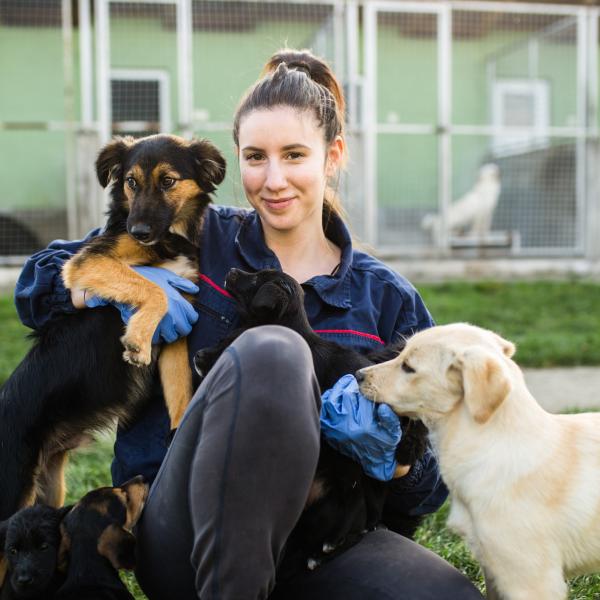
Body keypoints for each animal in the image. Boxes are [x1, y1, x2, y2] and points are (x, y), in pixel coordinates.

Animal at [0, 134, 225, 516]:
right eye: (131, 182)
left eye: (168, 181)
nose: (139, 231)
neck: (168, 240)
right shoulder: (87, 264)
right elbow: (154, 287)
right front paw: (136, 339)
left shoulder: (177, 330)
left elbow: (180, 391)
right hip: (12, 488)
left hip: (48, 490)